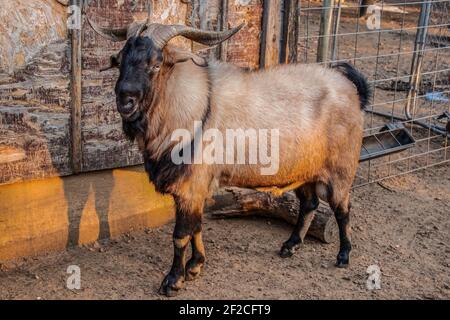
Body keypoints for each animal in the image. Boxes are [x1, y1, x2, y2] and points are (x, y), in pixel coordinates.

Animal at [88, 18, 370, 296]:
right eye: (120, 60)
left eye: (156, 64)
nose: (125, 101)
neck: (196, 106)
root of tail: (352, 89)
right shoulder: (195, 188)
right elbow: (197, 227)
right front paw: (195, 266)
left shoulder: (191, 185)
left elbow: (181, 234)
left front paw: (173, 281)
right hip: (305, 169)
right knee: (309, 203)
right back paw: (290, 246)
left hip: (340, 169)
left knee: (342, 209)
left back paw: (343, 256)